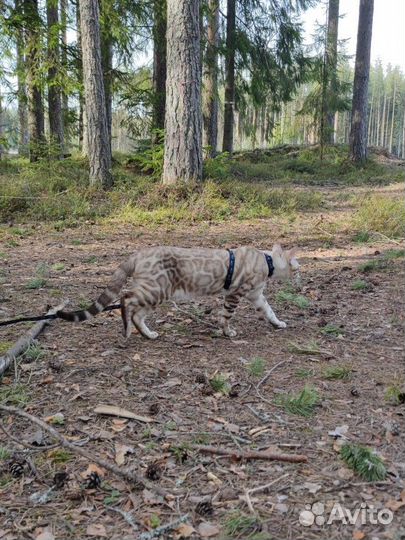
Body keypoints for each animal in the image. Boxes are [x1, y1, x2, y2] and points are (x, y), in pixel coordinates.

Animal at [56, 246, 298, 340]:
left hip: (156, 293)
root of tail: (138, 253)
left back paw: (148, 334)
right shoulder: (235, 295)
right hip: (156, 290)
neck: (266, 261)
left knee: (136, 313)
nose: (300, 281)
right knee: (126, 299)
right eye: (299, 268)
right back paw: (126, 331)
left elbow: (269, 311)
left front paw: (278, 324)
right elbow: (226, 317)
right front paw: (227, 332)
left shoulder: (257, 296)